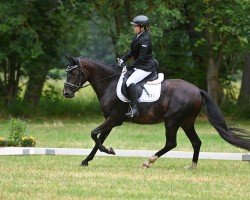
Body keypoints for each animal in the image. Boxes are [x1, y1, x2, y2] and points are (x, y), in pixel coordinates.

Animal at [62, 54, 250, 169]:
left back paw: (148, 161)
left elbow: (94, 134)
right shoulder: (110, 120)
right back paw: (192, 166)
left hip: (172, 121)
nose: (66, 93)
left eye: (74, 73)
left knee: (171, 143)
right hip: (187, 122)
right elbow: (98, 139)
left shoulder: (114, 118)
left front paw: (109, 151)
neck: (109, 83)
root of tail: (197, 90)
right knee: (196, 142)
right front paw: (86, 160)